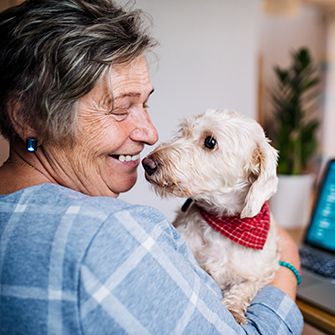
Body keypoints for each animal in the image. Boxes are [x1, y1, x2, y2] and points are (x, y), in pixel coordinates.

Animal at [142, 109, 280, 324]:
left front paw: (233, 308)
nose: (147, 163)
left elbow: (246, 286)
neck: (223, 223)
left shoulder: (263, 271)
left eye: (210, 142)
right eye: (183, 132)